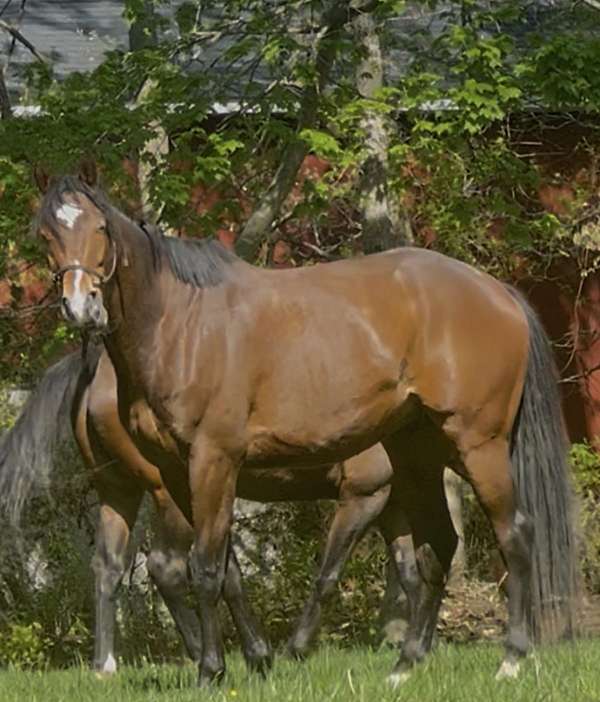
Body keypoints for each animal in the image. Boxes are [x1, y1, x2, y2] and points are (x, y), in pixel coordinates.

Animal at [0, 344, 418, 674]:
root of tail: (92, 365)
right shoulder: (364, 493)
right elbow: (328, 575)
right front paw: (297, 649)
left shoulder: (391, 501)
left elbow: (411, 571)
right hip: (171, 495)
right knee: (167, 566)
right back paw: (209, 654)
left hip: (120, 492)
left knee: (113, 566)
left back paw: (111, 666)